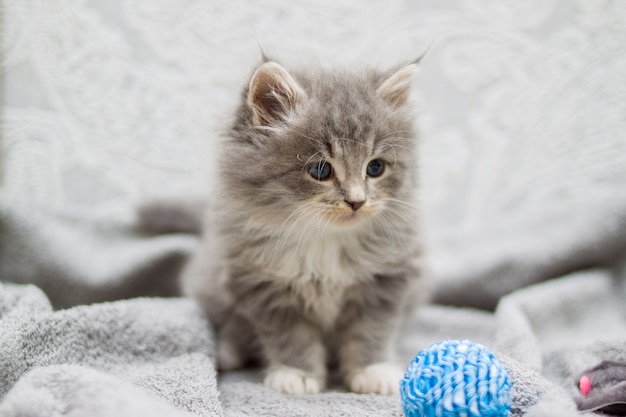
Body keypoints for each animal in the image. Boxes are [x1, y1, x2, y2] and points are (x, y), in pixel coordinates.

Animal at [178, 57, 426, 394]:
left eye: (375, 168)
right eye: (321, 170)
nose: (357, 201)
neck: (326, 240)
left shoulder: (386, 281)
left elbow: (371, 332)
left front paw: (372, 369)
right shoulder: (261, 285)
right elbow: (290, 338)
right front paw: (296, 373)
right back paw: (228, 351)